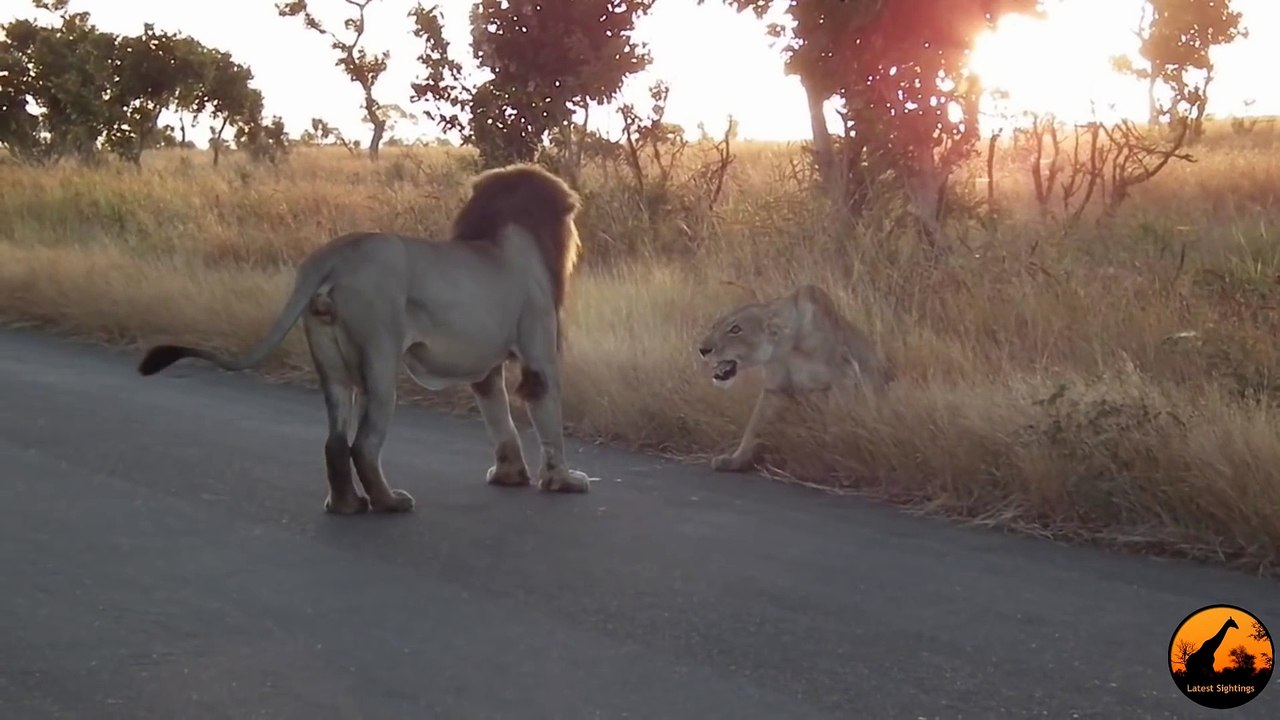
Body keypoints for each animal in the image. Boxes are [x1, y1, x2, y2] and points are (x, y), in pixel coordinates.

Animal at [136, 162, 595, 515]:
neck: (510, 237)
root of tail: (338, 254)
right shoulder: (538, 351)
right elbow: (546, 415)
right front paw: (564, 481)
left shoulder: (485, 367)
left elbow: (499, 419)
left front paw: (509, 475)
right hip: (380, 358)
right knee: (364, 445)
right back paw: (390, 503)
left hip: (332, 363)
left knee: (335, 442)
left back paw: (346, 506)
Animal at [696, 284, 892, 473]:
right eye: (714, 326)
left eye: (735, 329)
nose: (703, 350)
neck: (787, 346)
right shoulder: (775, 388)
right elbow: (753, 427)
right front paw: (736, 460)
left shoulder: (844, 374)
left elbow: (838, 423)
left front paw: (835, 456)